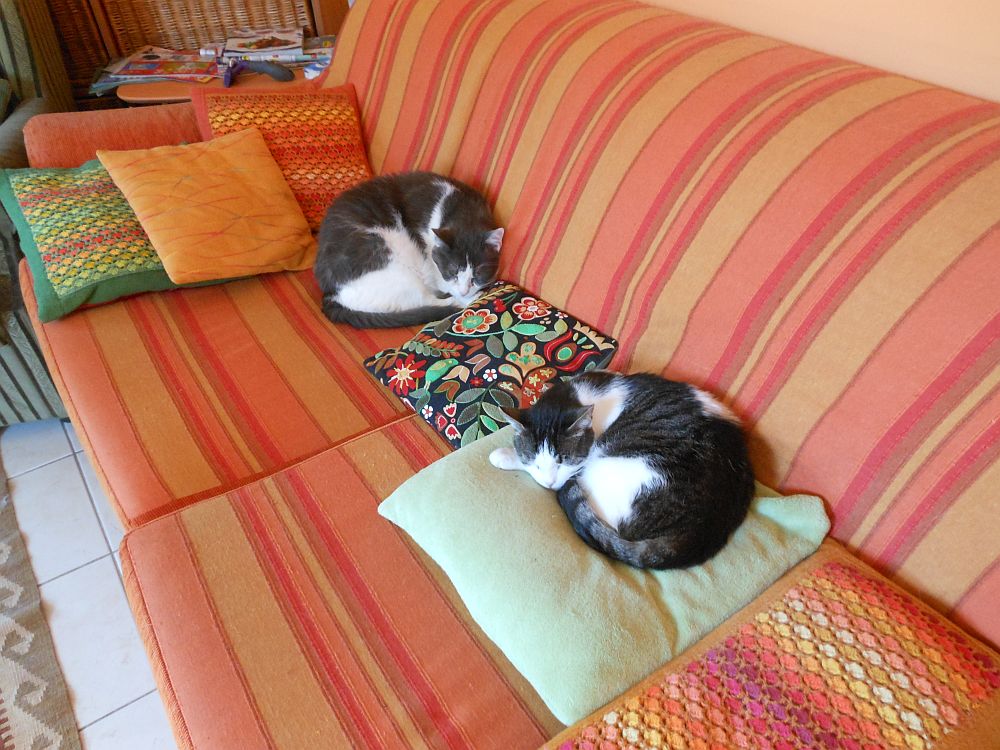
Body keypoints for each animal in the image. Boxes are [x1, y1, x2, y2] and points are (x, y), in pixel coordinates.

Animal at [314, 171, 504, 328]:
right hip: (397, 268)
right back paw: (462, 302)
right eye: (452, 271)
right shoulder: (430, 263)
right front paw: (463, 295)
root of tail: (331, 294)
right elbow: (442, 284)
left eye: (478, 273)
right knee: (426, 300)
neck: (461, 209)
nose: (465, 291)